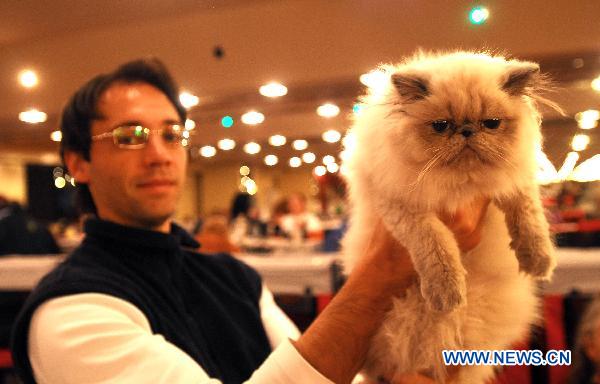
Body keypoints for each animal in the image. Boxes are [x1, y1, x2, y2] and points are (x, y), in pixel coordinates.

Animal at [342, 51, 556, 384]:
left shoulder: (512, 183)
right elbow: (437, 245)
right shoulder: (404, 206)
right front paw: (447, 292)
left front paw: (538, 262)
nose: (467, 131)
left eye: (491, 124)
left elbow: (529, 217)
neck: (461, 183)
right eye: (441, 126)